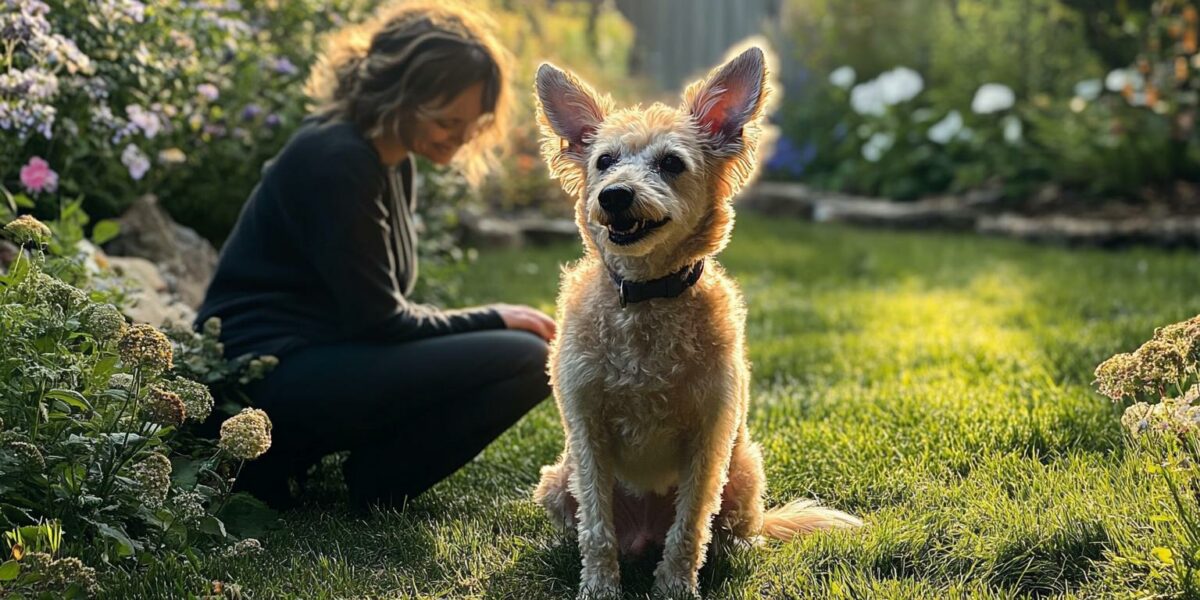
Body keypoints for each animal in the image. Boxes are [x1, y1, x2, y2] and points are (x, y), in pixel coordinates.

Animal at [535, 45, 864, 595]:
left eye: (671, 163)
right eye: (603, 161)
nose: (613, 194)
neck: (646, 298)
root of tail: (643, 535)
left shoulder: (709, 439)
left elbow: (690, 525)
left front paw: (674, 587)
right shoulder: (586, 433)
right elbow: (596, 527)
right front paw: (599, 587)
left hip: (744, 468)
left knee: (734, 529)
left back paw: (738, 551)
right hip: (558, 479)